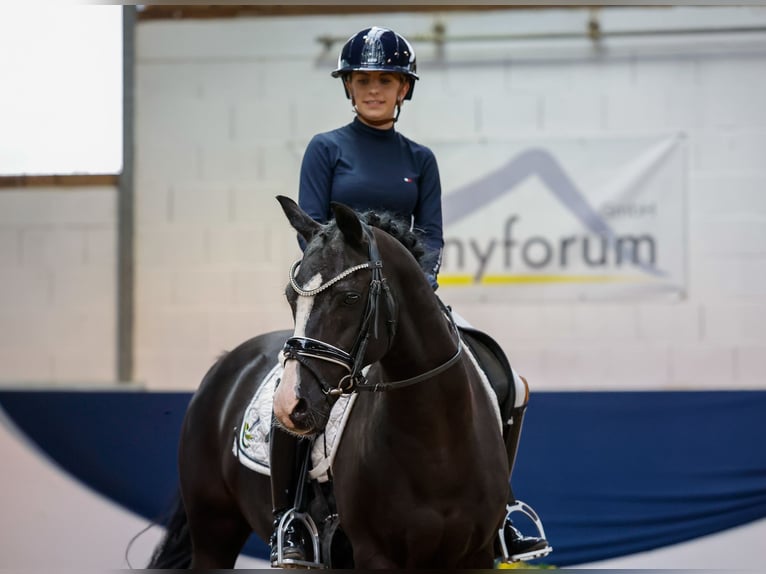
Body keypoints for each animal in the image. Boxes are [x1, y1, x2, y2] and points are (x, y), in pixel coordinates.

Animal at [148, 198, 510, 572]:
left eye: (349, 297)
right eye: (291, 297)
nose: (289, 403)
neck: (435, 443)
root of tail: (225, 363)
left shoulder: (476, 554)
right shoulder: (375, 555)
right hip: (212, 531)